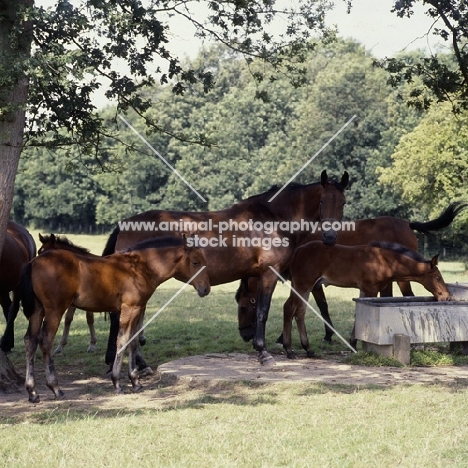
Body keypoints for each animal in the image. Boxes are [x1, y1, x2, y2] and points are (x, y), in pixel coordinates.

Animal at [20, 236, 210, 404]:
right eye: (195, 262)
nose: (206, 289)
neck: (139, 268)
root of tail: (34, 263)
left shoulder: (138, 309)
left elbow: (134, 341)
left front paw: (135, 381)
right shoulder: (129, 308)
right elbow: (123, 340)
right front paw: (117, 382)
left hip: (37, 311)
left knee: (30, 341)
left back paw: (32, 392)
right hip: (55, 310)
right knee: (45, 341)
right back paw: (55, 387)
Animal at [103, 170, 352, 364]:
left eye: (342, 203)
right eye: (322, 201)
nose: (330, 237)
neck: (274, 218)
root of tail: (124, 225)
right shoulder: (268, 274)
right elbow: (263, 311)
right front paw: (263, 351)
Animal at [280, 241, 452, 358]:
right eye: (437, 277)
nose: (447, 296)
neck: (385, 261)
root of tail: (297, 251)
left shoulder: (363, 290)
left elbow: (358, 314)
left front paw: (352, 344)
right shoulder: (371, 289)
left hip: (307, 287)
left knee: (300, 312)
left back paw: (308, 349)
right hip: (303, 285)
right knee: (289, 308)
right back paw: (289, 350)